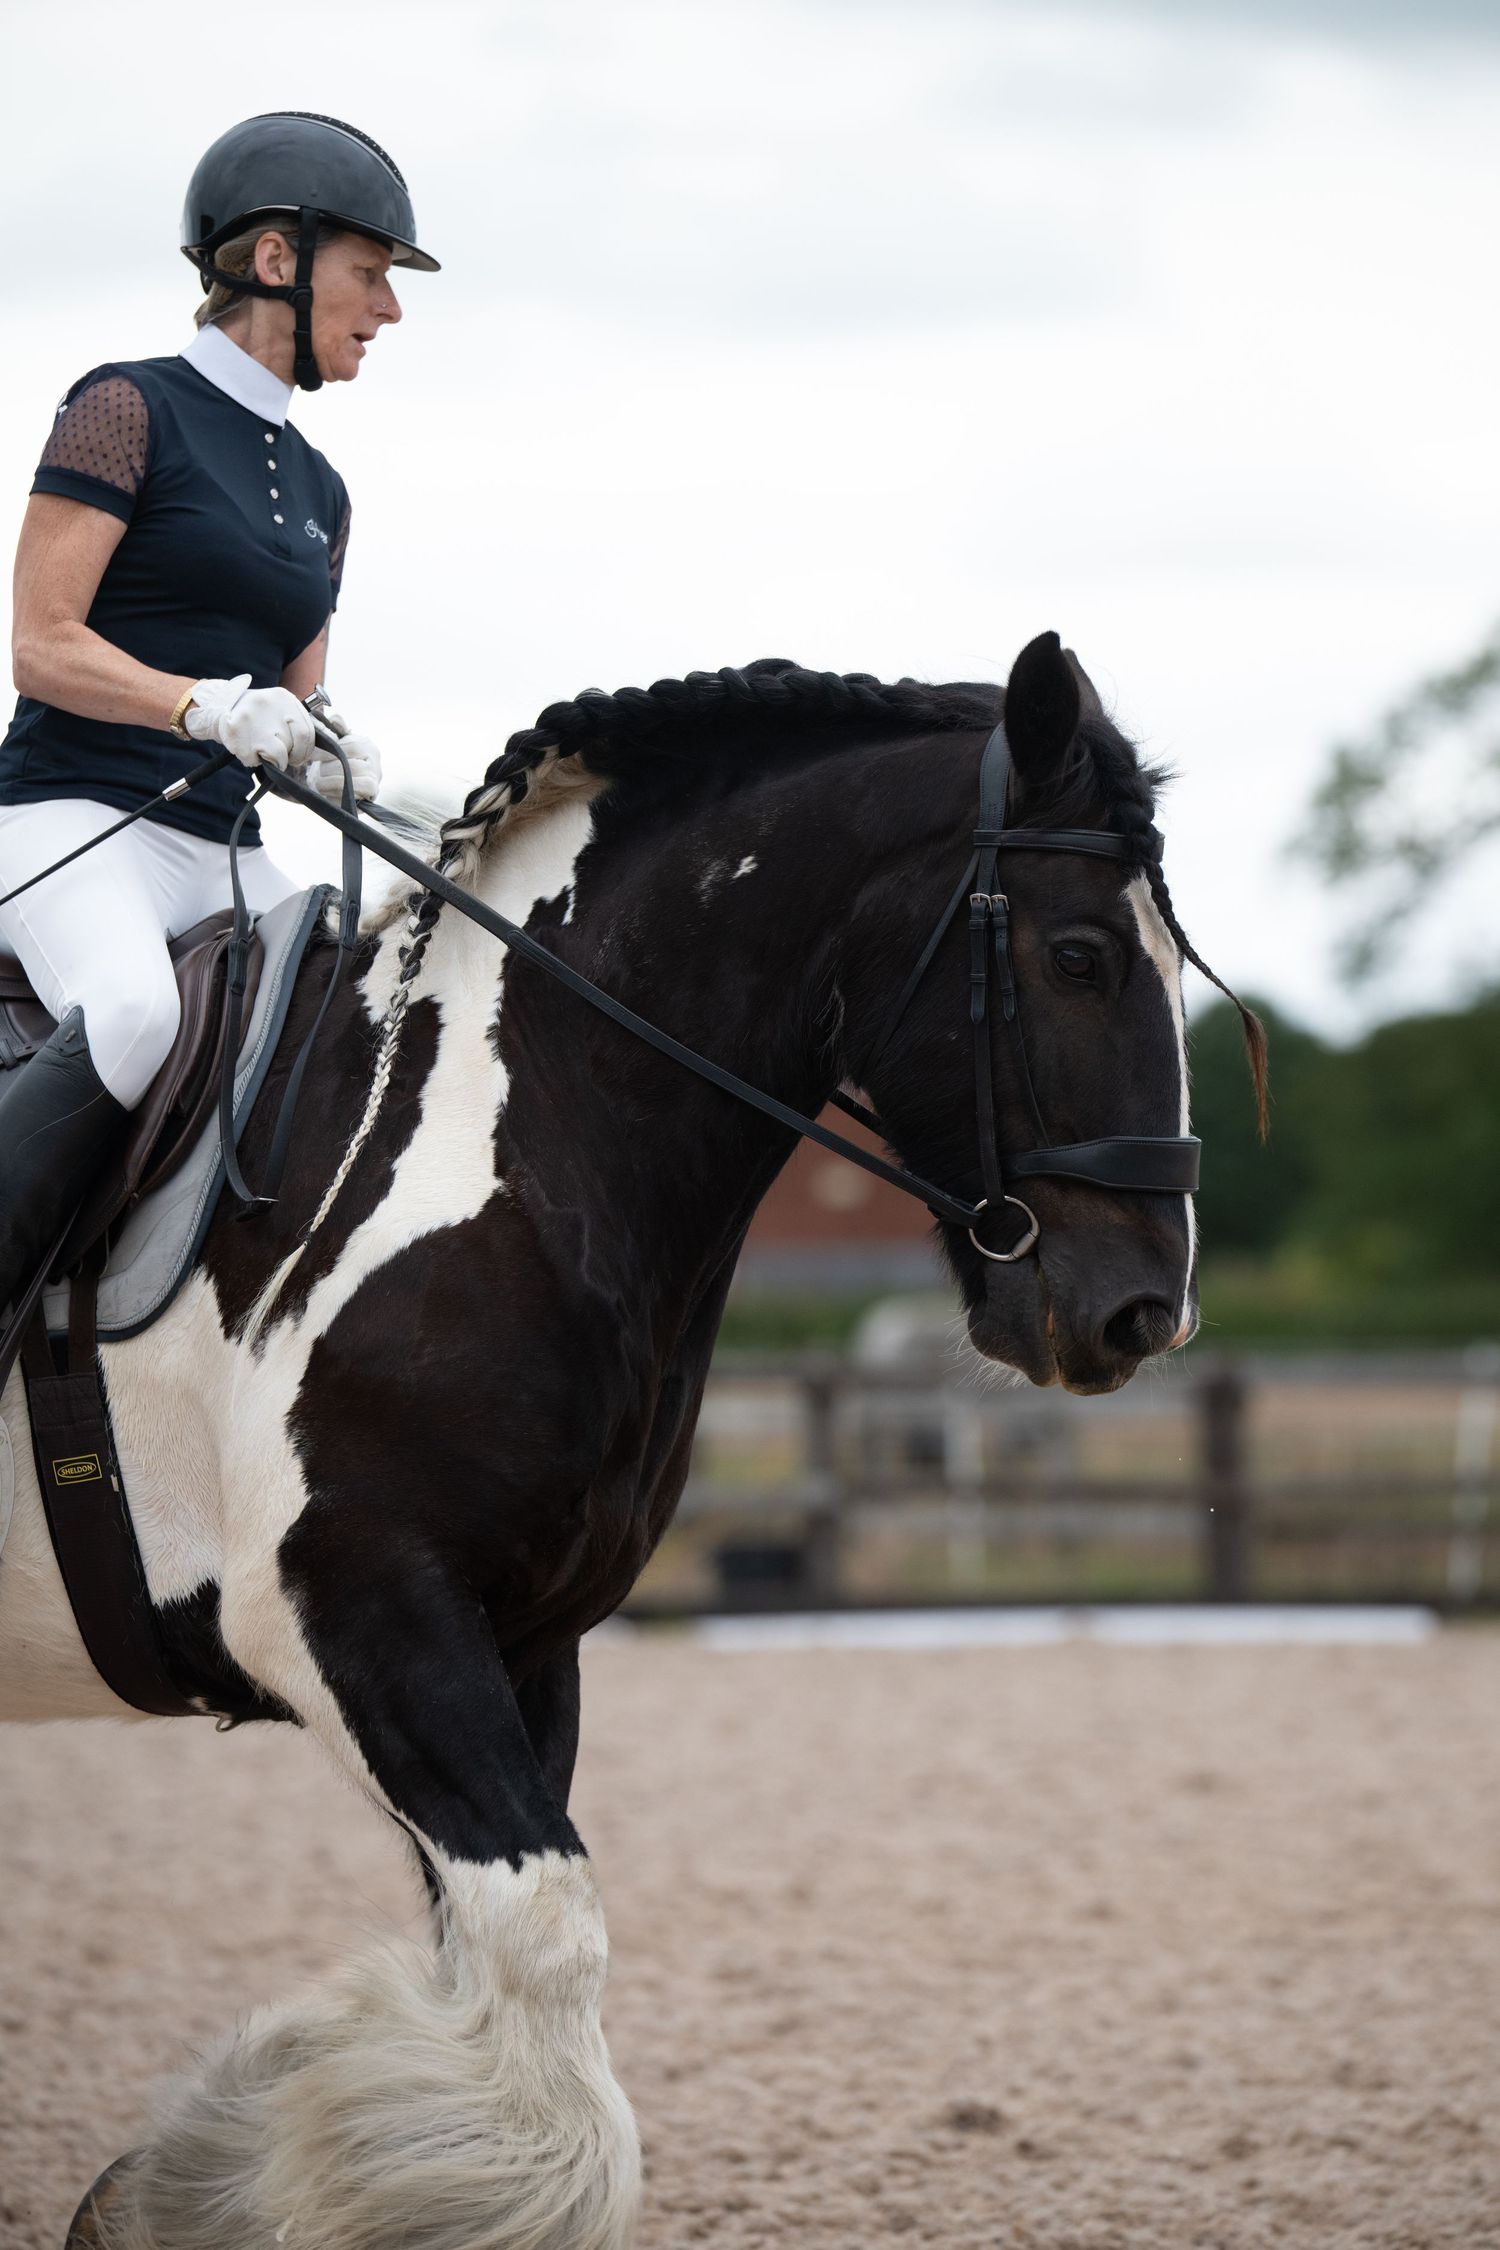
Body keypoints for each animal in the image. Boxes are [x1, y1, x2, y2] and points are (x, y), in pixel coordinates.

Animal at [0, 630, 1260, 2250]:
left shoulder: (523, 1639)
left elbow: (493, 1952)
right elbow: (548, 1937)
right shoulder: (352, 1607)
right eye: (1083, 957)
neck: (507, 1150)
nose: (1141, 1314)